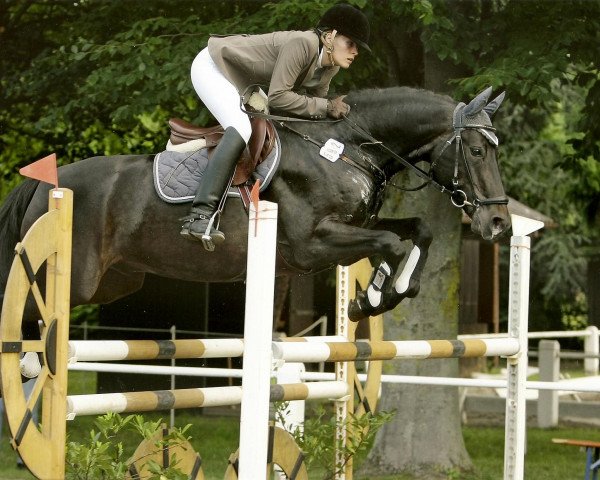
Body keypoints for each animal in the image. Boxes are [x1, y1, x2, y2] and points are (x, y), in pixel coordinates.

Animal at [0, 85, 508, 330]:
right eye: (477, 151)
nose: (499, 222)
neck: (345, 148)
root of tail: (43, 185)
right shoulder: (311, 245)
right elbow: (390, 243)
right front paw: (376, 296)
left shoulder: (353, 226)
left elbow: (416, 230)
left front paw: (380, 295)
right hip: (71, 281)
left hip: (114, 282)